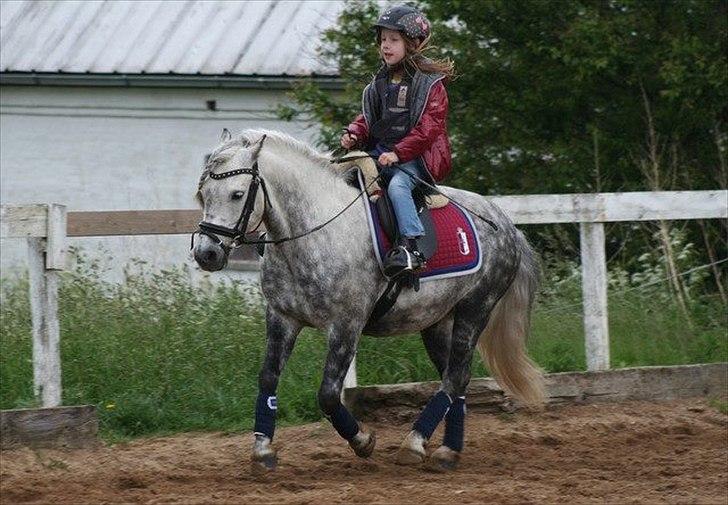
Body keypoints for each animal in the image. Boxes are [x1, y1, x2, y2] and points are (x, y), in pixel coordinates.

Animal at [193, 128, 544, 473]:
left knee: (455, 376)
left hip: (475, 309)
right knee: (456, 378)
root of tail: (507, 225)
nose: (206, 254)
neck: (316, 231)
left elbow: (328, 395)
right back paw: (447, 450)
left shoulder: (346, 324)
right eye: (203, 194)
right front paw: (262, 450)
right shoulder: (282, 317)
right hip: (436, 321)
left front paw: (363, 440)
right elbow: (267, 379)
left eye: (237, 194)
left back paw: (416, 443)